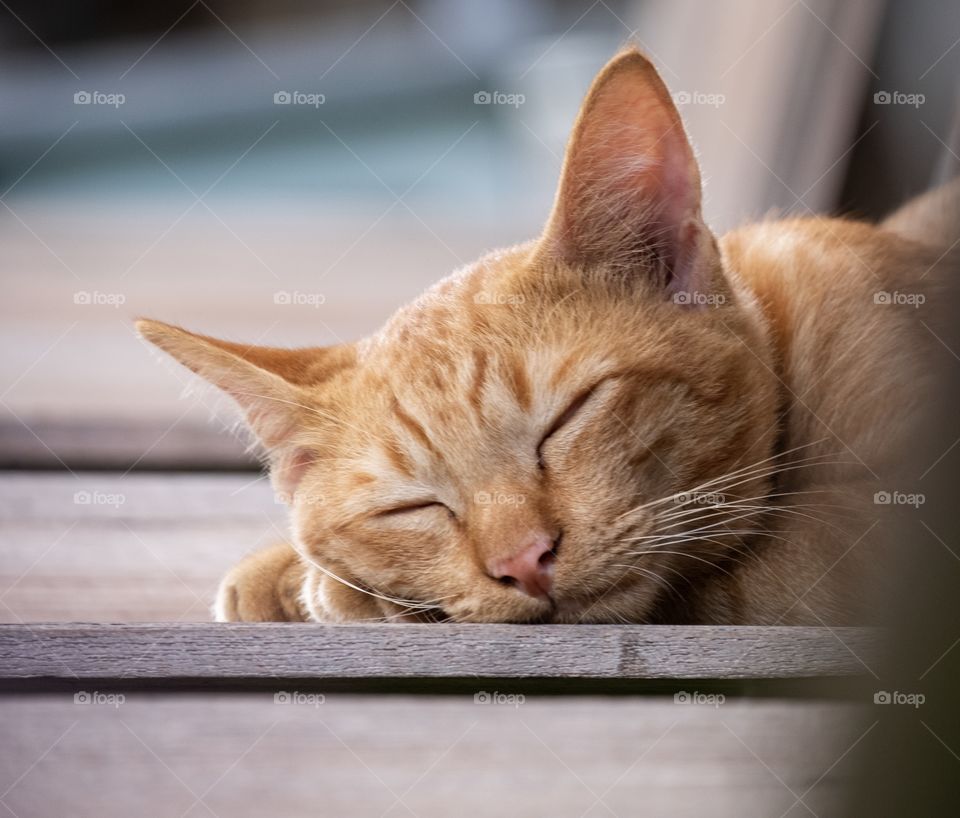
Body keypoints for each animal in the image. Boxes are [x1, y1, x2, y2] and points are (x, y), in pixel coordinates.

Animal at [139, 49, 956, 624]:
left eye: (567, 419)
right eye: (409, 507)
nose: (524, 562)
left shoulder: (879, 541)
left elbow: (732, 582)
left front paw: (346, 593)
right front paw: (290, 572)